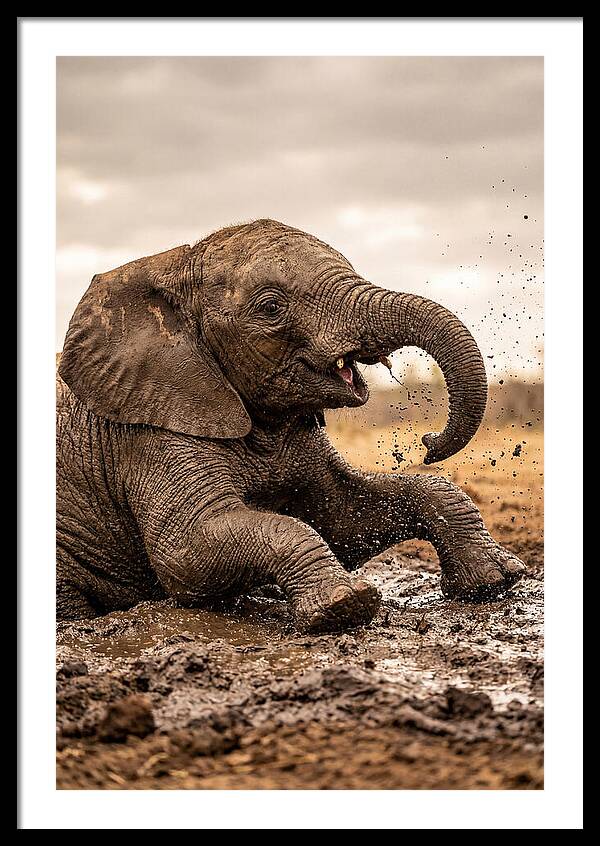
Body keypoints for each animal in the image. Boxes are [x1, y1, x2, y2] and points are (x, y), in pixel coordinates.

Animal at [56, 218, 525, 631]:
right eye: (270, 308)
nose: (428, 443)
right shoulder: (151, 432)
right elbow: (186, 553)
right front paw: (344, 605)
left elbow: (344, 518)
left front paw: (495, 580)